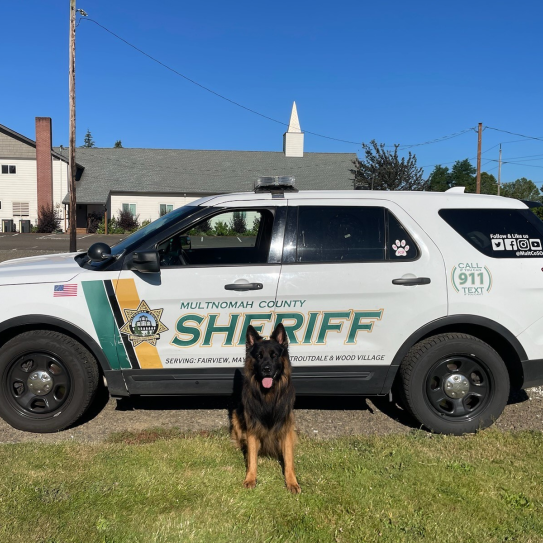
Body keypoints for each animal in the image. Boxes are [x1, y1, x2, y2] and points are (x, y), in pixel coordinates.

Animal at [232, 326, 302, 496]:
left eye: (274, 355)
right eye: (259, 356)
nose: (266, 369)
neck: (268, 395)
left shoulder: (285, 428)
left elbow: (288, 460)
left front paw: (292, 482)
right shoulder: (252, 428)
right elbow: (252, 459)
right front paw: (250, 478)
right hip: (236, 417)